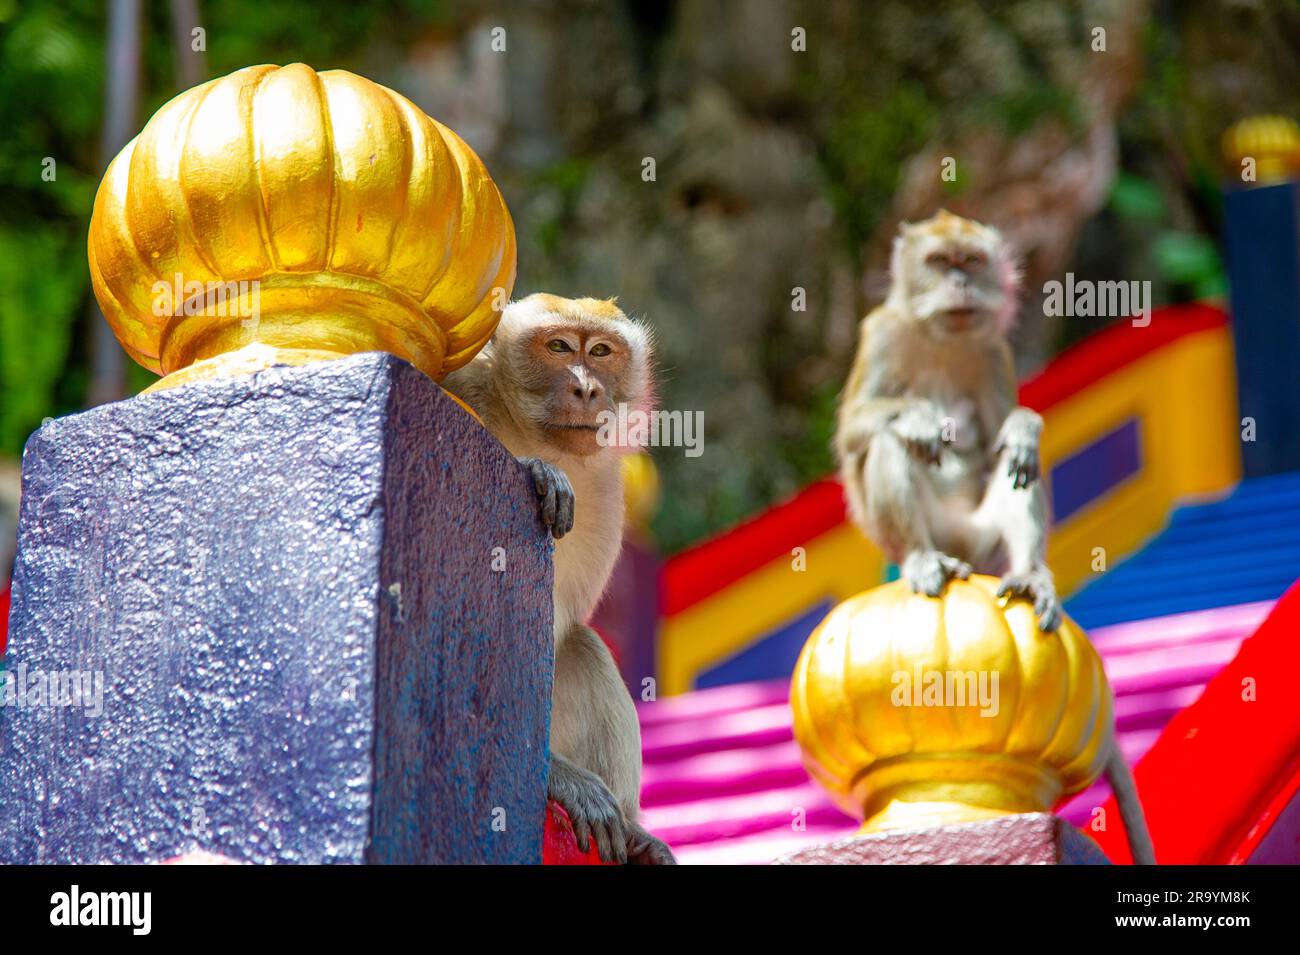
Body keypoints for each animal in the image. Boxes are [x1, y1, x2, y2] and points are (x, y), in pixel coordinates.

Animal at [444, 293, 676, 867]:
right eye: (559, 347)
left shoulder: (606, 491)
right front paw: (538, 472)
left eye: (601, 352)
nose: (587, 388)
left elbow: (559, 628)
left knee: (581, 645)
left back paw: (635, 835)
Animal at [837, 210, 1154, 867]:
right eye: (940, 263)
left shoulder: (991, 350)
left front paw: (1025, 426)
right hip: (934, 532)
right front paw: (914, 416)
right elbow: (856, 427)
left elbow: (1005, 432)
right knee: (887, 444)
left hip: (982, 538)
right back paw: (923, 558)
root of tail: (962, 549)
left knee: (1015, 469)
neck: (941, 337)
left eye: (971, 262)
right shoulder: (880, 333)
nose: (959, 284)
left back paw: (1031, 574)